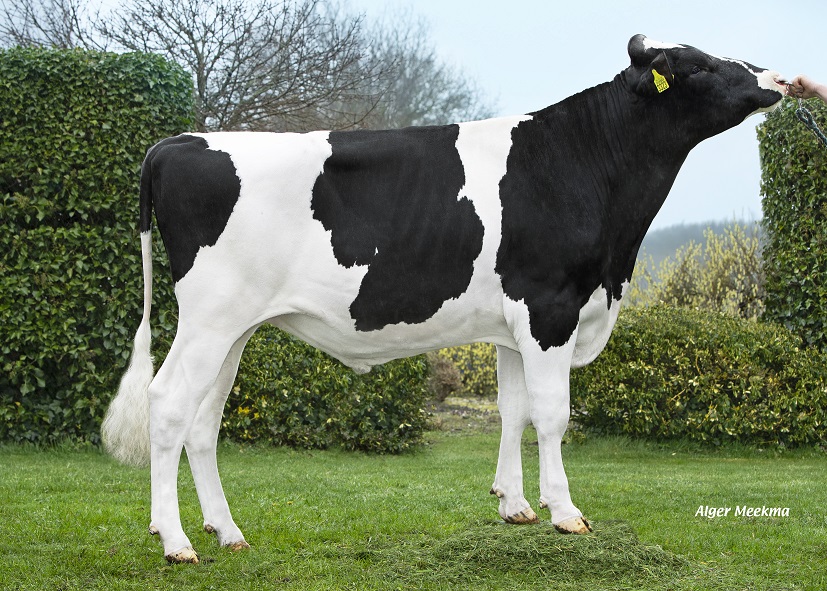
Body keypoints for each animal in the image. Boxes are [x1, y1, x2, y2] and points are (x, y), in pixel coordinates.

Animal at [102, 34, 786, 563]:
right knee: (168, 405)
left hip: (235, 328)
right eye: (698, 64)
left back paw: (227, 532)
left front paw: (515, 506)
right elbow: (552, 415)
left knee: (203, 421)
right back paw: (175, 541)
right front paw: (565, 512)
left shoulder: (514, 324)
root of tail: (179, 142)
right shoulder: (550, 308)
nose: (777, 77)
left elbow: (513, 411)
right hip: (210, 319)